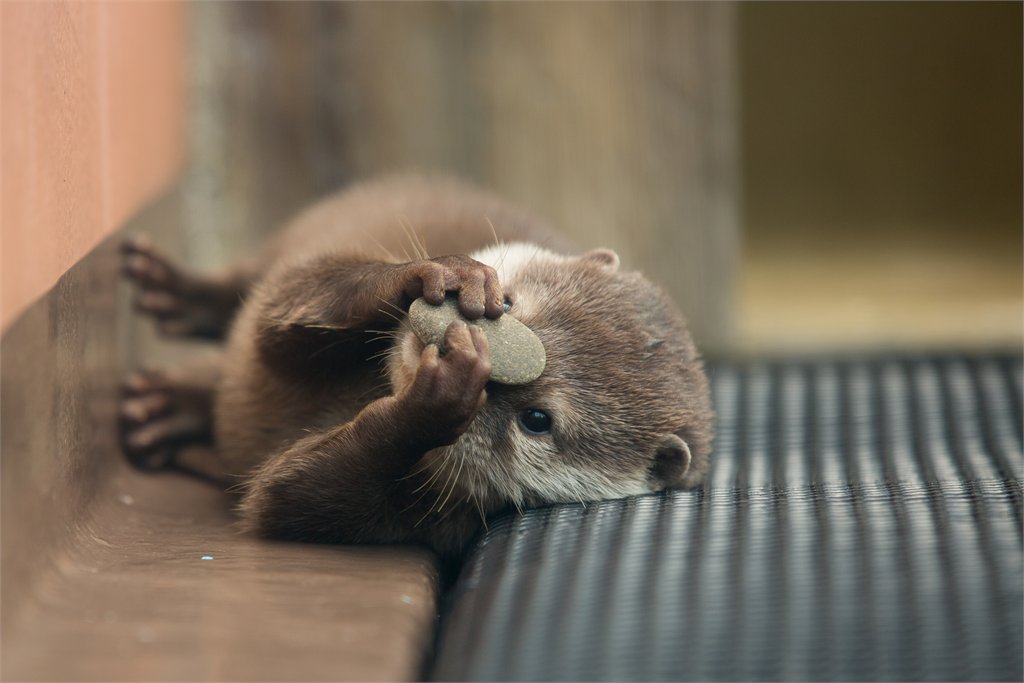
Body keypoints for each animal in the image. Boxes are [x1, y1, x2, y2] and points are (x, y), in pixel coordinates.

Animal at [120, 176, 713, 557]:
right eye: (508, 304)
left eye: (537, 421)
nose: (459, 340)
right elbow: (289, 295)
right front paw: (438, 274)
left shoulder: (439, 521)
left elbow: (290, 500)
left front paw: (438, 400)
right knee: (245, 284)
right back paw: (170, 295)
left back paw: (164, 412)